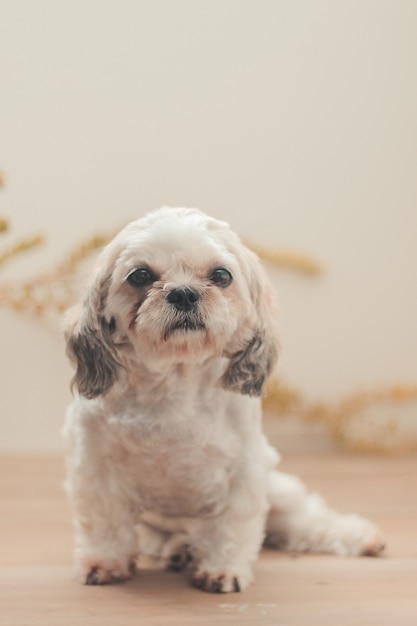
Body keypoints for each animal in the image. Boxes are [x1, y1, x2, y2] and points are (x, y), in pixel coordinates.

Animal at [63, 206, 386, 588]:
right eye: (140, 275)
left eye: (221, 275)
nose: (184, 293)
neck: (174, 390)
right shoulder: (97, 468)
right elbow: (106, 523)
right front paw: (105, 561)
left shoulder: (243, 471)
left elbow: (232, 525)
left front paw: (223, 569)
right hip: (152, 523)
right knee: (167, 537)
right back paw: (180, 549)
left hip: (279, 491)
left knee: (308, 520)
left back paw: (358, 535)